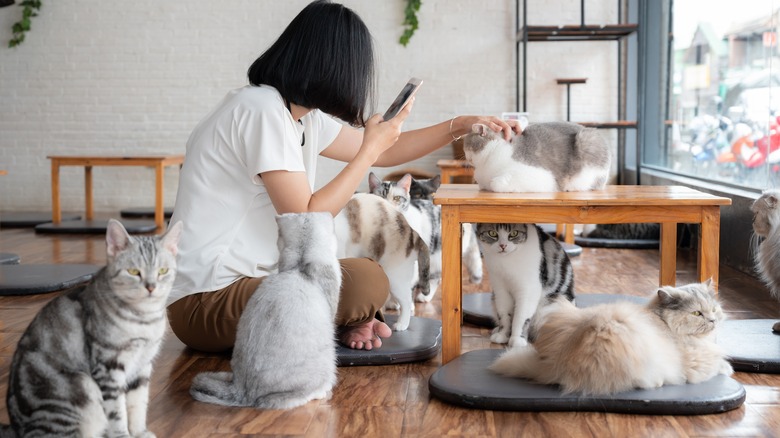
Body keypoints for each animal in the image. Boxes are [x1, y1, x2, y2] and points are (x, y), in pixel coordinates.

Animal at [3, 219, 183, 438]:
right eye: (133, 272)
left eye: (162, 271)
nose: (151, 287)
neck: (144, 319)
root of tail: (15, 428)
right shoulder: (109, 367)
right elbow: (117, 412)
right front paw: (123, 435)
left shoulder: (142, 366)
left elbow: (138, 404)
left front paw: (140, 432)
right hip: (80, 389)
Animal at [490, 280, 736, 396]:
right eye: (696, 313)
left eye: (714, 309)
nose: (713, 320)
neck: (665, 324)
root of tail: (558, 365)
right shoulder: (697, 363)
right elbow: (717, 364)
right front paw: (728, 369)